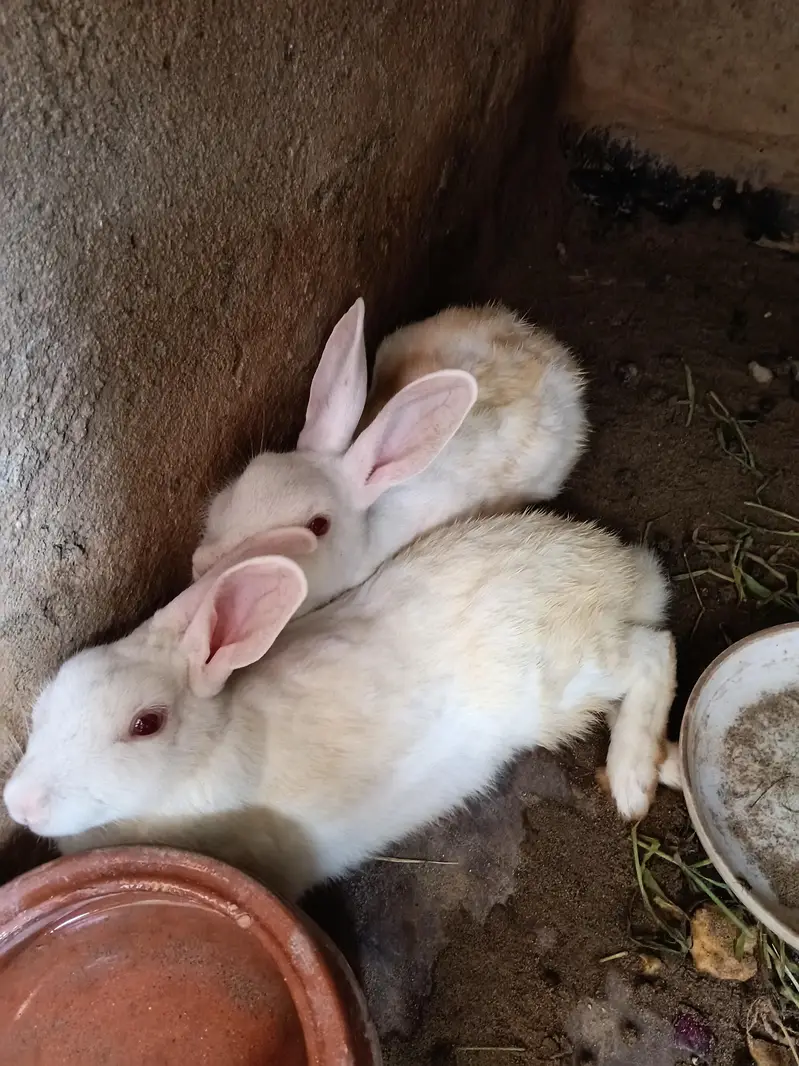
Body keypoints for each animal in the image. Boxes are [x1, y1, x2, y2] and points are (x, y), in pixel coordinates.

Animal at [5, 510, 678, 901]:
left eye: (145, 724)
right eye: (50, 700)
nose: (20, 805)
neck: (208, 752)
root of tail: (622, 572)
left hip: (563, 678)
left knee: (655, 651)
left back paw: (632, 783)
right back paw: (664, 762)